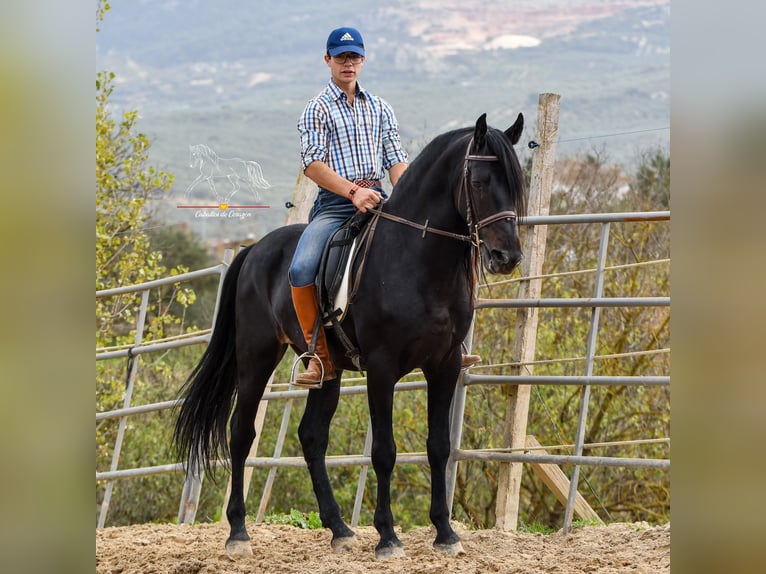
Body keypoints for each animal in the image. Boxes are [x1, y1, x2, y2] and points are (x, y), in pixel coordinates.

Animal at [174, 112, 528, 564]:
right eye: (480, 181)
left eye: (518, 183)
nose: (507, 257)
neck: (417, 261)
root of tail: (254, 249)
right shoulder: (381, 367)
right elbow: (384, 451)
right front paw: (388, 538)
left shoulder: (445, 365)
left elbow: (438, 446)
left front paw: (445, 534)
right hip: (256, 357)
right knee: (241, 433)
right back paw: (238, 533)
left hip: (328, 369)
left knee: (311, 436)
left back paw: (339, 529)